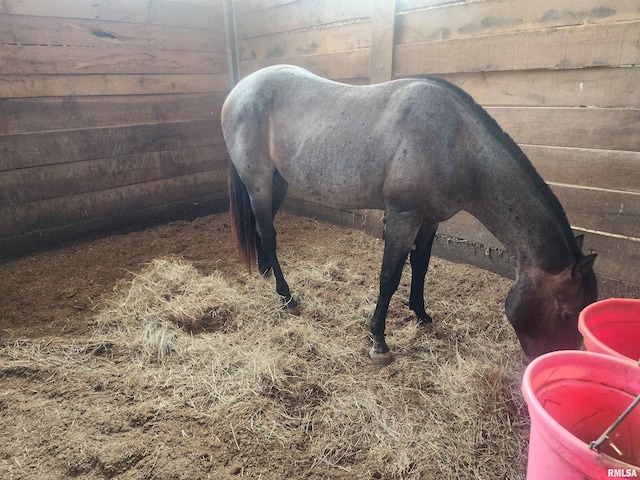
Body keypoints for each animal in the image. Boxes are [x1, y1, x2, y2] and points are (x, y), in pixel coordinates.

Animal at [222, 63, 596, 364]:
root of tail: (238, 90)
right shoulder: (404, 216)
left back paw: (266, 274)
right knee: (268, 232)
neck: (456, 142)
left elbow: (421, 265)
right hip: (258, 181)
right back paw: (286, 296)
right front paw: (378, 341)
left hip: (277, 182)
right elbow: (390, 276)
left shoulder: (430, 219)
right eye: (567, 314)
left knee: (262, 227)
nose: (544, 361)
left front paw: (420, 314)